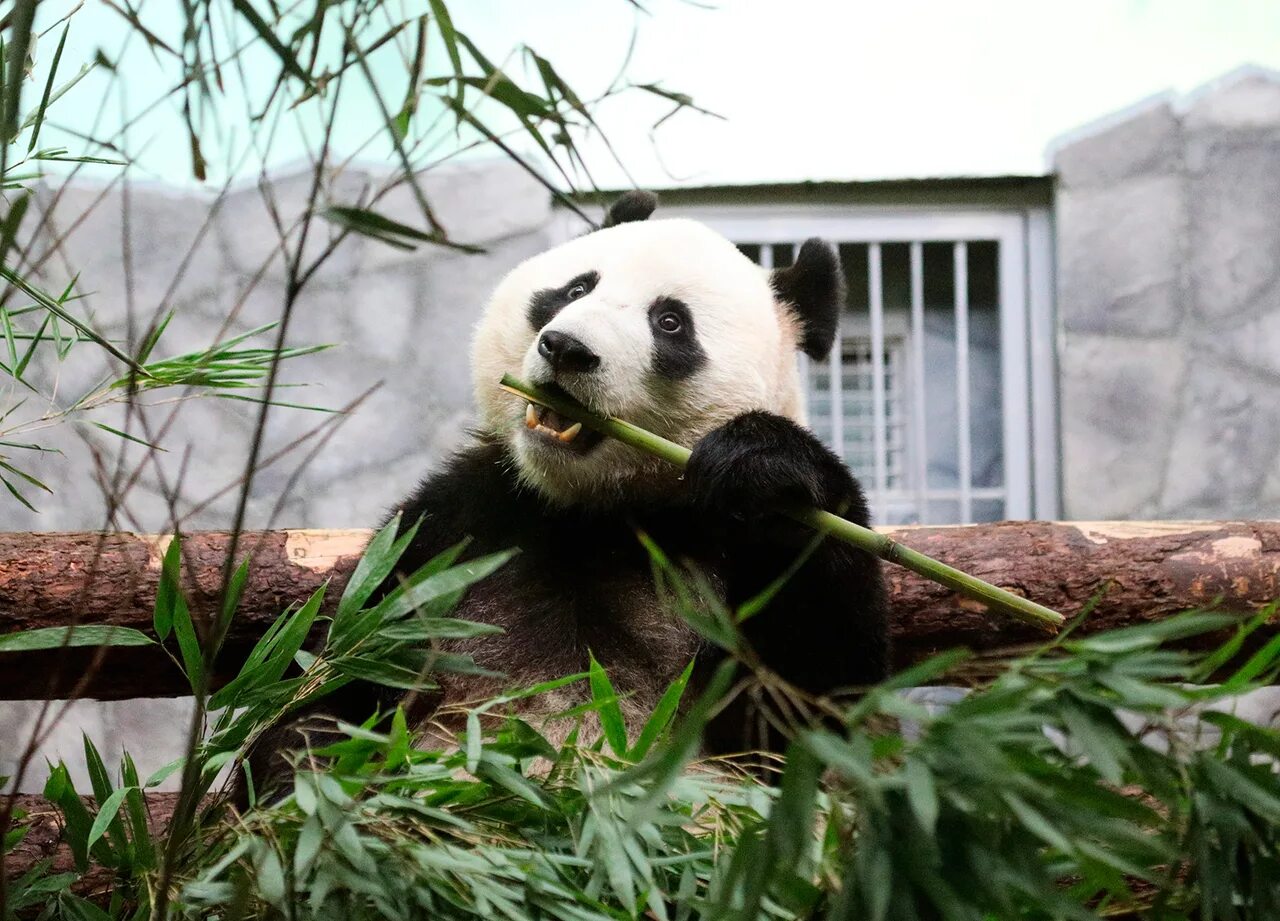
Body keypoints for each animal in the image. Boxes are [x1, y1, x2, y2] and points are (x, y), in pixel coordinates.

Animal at [247, 191, 890, 793]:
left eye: (670, 322)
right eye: (577, 287)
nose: (566, 348)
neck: (595, 510)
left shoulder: (717, 546)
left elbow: (809, 714)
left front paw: (764, 461)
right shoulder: (456, 527)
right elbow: (344, 667)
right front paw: (308, 767)